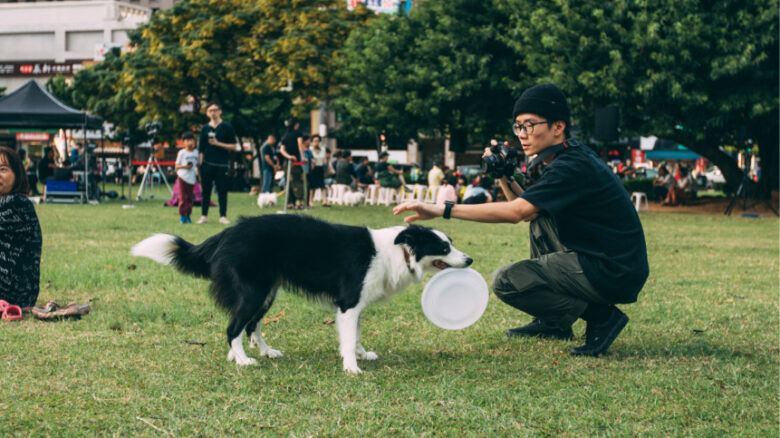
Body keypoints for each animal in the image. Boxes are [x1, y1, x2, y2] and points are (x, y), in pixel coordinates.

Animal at [131, 215, 472, 372]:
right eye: (444, 248)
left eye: (451, 243)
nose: (469, 260)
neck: (398, 251)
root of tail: (226, 233)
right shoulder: (349, 302)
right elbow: (349, 336)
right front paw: (352, 366)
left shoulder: (357, 305)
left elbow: (357, 334)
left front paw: (362, 354)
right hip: (254, 291)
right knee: (233, 327)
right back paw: (242, 360)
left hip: (267, 292)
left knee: (251, 325)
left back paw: (263, 352)